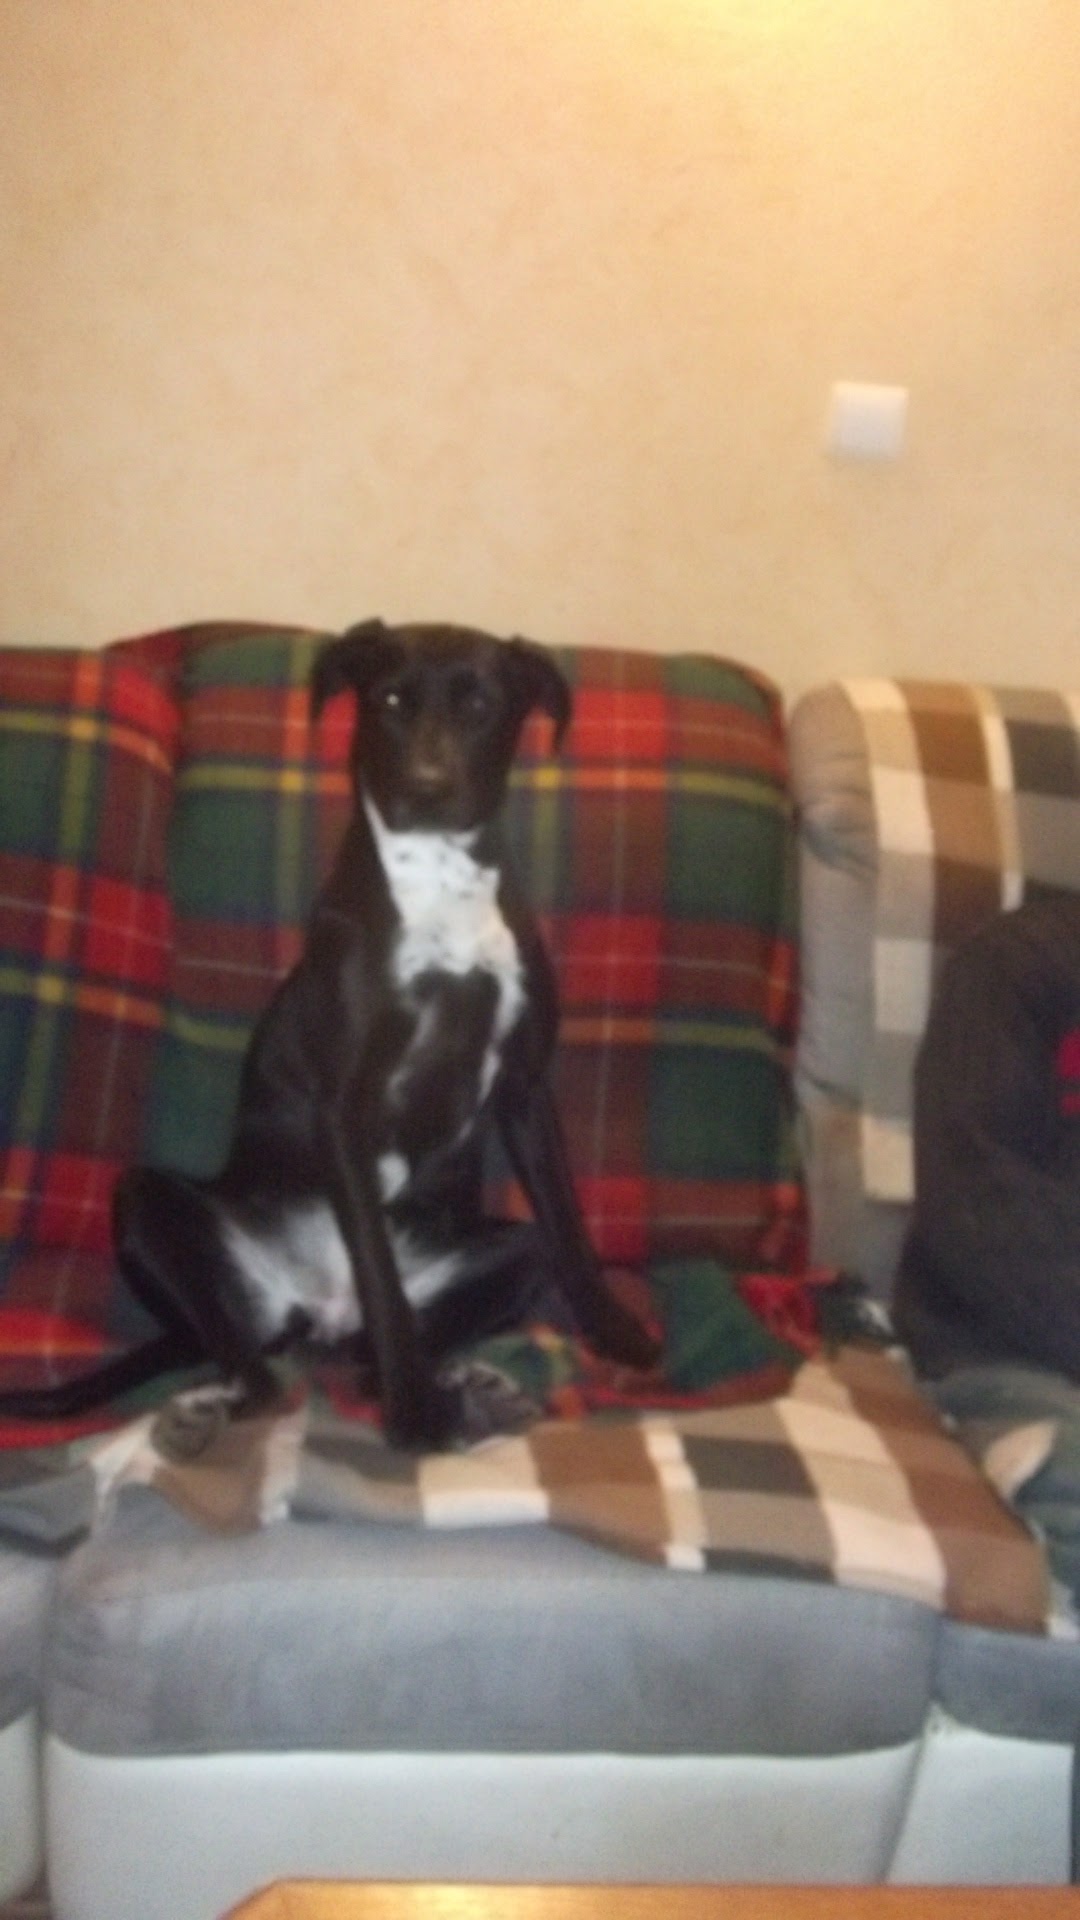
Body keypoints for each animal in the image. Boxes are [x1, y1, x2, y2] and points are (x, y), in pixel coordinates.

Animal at [0, 621, 658, 1449]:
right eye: (390, 701)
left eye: (481, 705)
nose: (427, 787)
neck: (438, 884)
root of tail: (313, 1309)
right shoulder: (345, 1107)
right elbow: (380, 1273)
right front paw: (413, 1414)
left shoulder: (524, 1087)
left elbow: (569, 1227)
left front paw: (616, 1330)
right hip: (147, 1200)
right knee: (256, 1363)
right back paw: (220, 1404)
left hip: (508, 1250)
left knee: (368, 1350)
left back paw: (465, 1388)